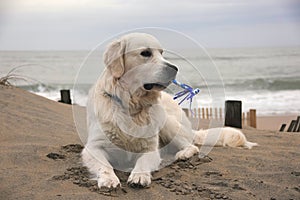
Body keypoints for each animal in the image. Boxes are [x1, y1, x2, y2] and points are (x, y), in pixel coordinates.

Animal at [82, 32, 258, 189]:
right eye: (145, 53)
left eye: (162, 53)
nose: (174, 68)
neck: (133, 105)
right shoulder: (93, 147)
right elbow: (104, 165)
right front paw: (109, 179)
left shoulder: (151, 149)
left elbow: (143, 161)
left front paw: (139, 176)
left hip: (167, 123)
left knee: (191, 146)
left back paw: (182, 155)